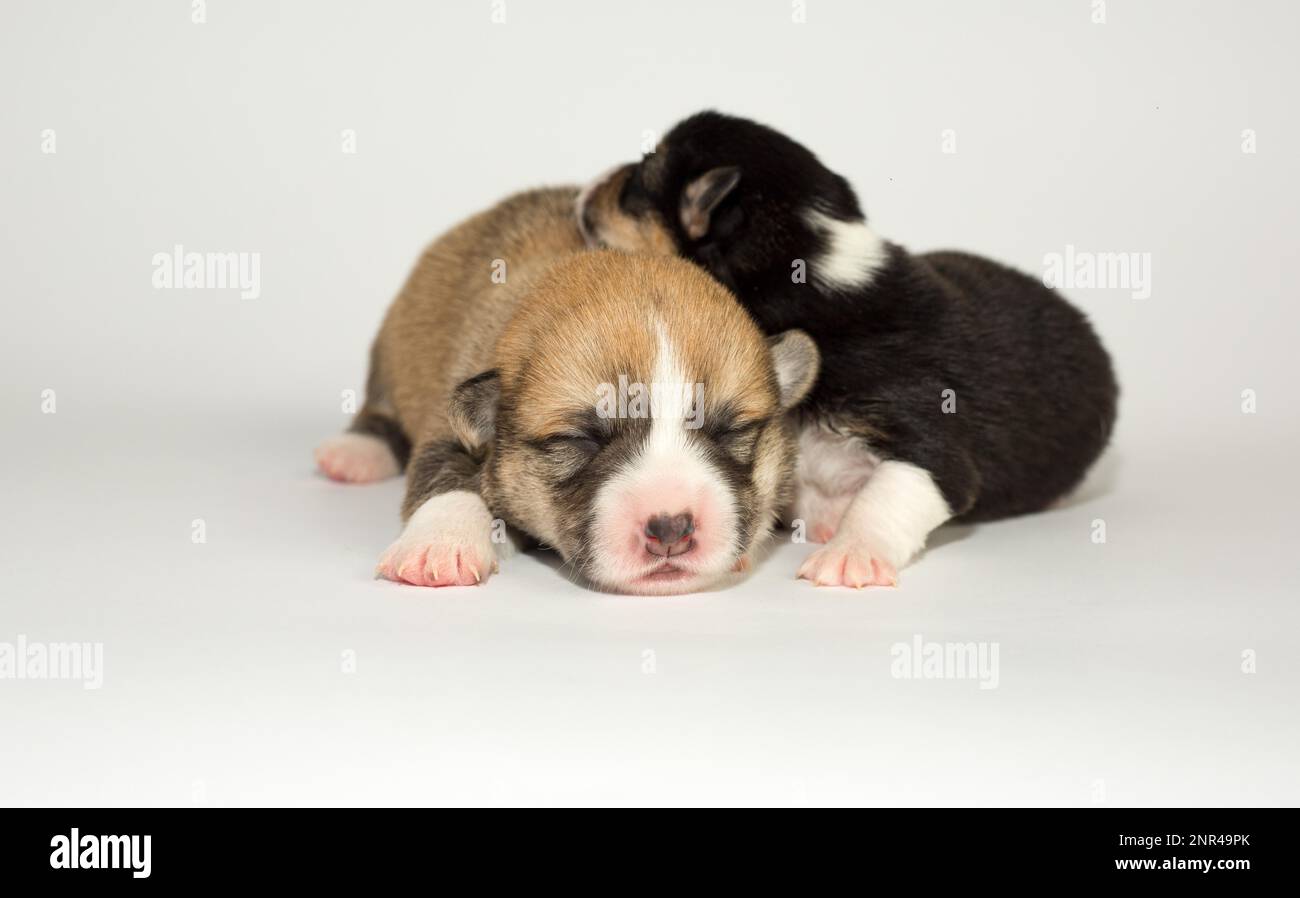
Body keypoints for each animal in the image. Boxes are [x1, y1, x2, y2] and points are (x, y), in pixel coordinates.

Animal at [314, 188, 816, 597]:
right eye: (581, 439)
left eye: (731, 431)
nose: (670, 528)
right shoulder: (452, 414)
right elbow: (446, 472)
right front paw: (439, 544)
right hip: (392, 350)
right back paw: (356, 453)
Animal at [579, 110, 1118, 590]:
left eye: (637, 182)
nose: (586, 188)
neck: (810, 285)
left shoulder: (929, 439)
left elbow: (889, 495)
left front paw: (847, 555)